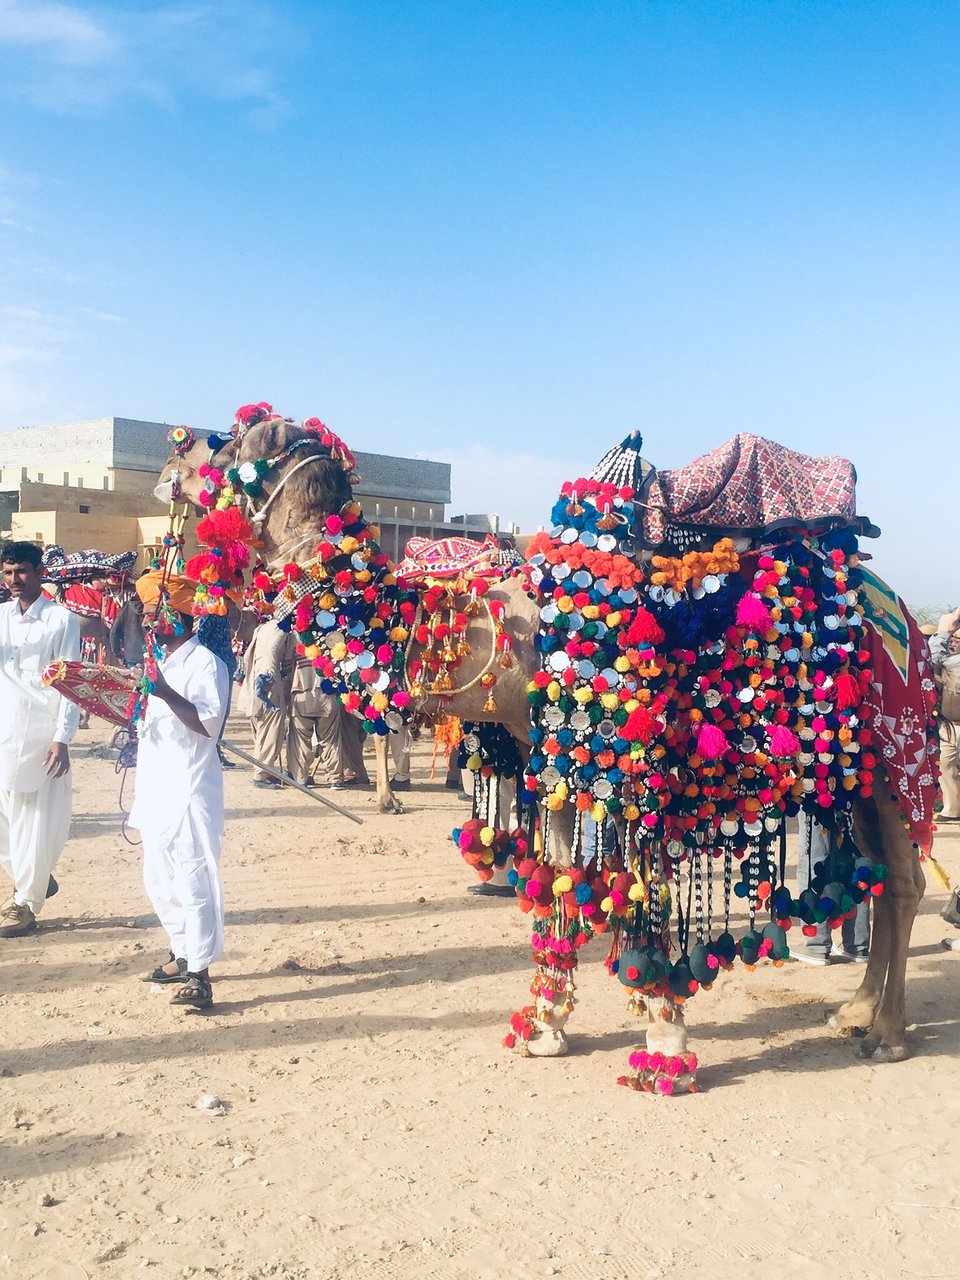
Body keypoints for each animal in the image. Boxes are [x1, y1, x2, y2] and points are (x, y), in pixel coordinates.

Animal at [156, 404, 942, 1085]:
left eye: (230, 446)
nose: (172, 455)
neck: (514, 624)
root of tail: (901, 611)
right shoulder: (549, 759)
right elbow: (558, 874)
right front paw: (544, 1025)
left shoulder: (627, 764)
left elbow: (642, 890)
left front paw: (663, 1042)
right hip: (854, 768)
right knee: (880, 874)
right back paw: (855, 1012)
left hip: (893, 747)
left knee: (904, 879)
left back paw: (888, 1034)